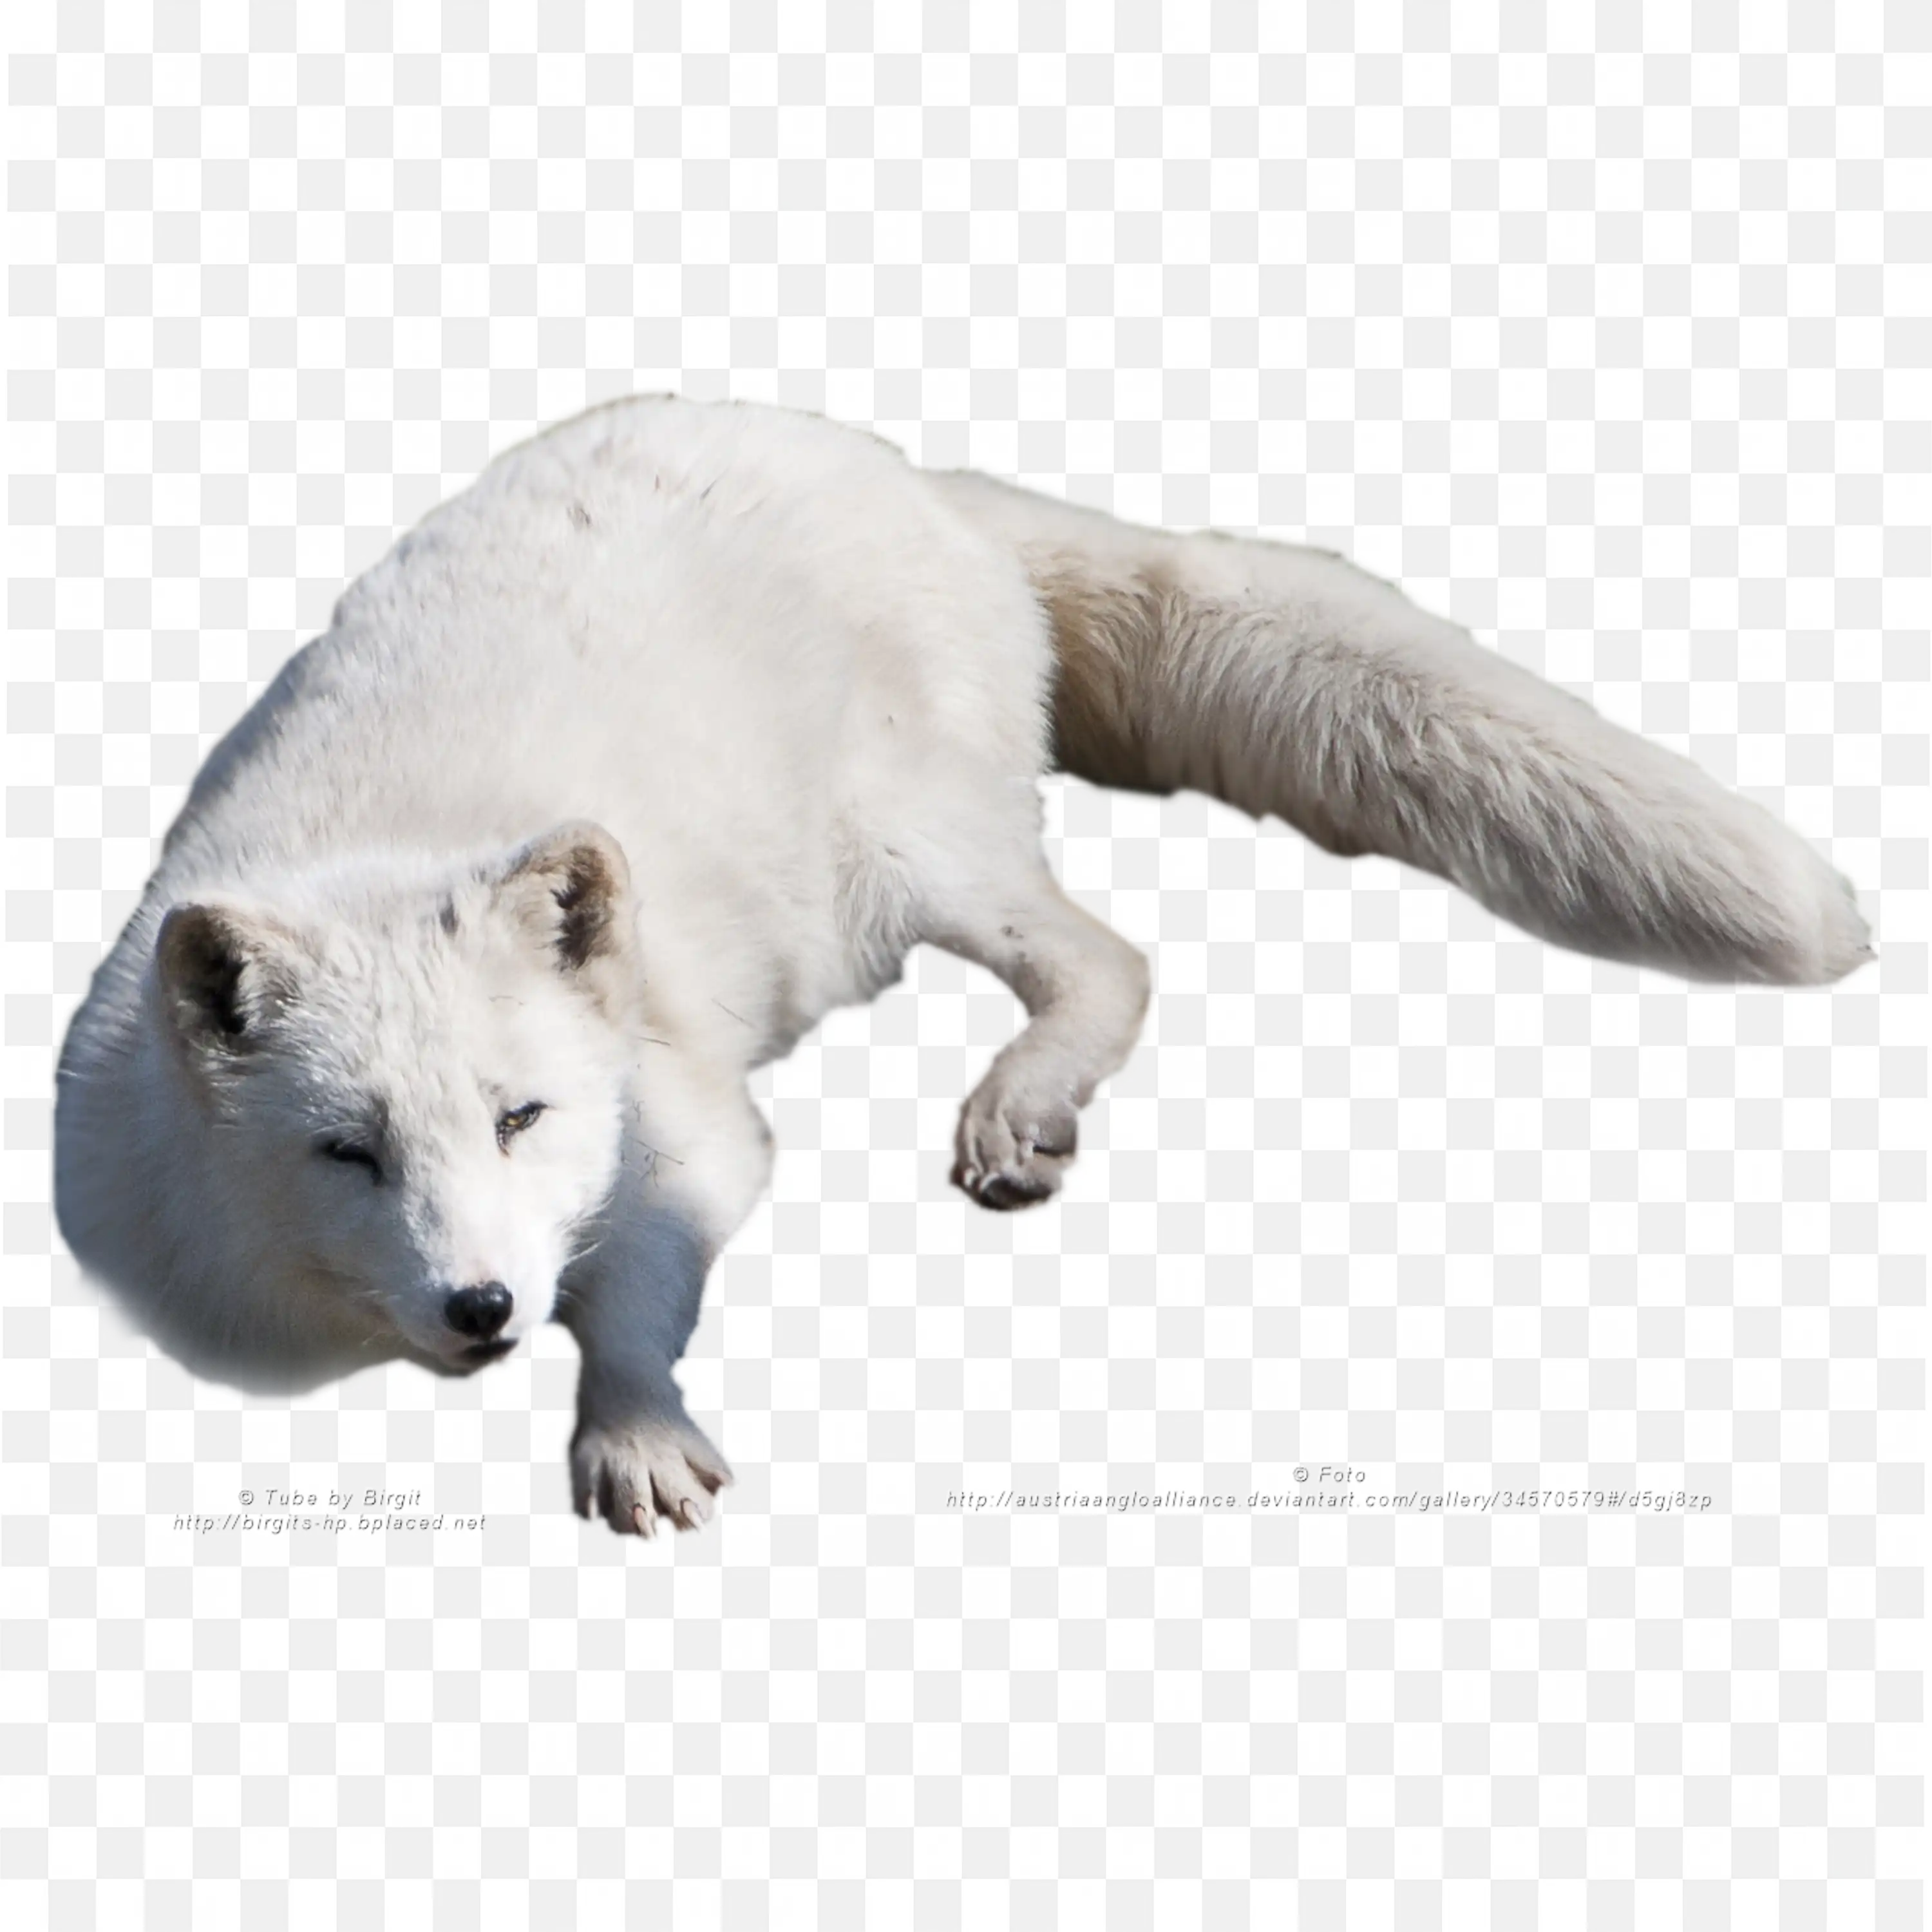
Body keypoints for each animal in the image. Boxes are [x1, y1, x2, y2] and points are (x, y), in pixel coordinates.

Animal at [50, 391, 1874, 1538]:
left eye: (522, 1118)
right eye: (344, 1152)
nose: (485, 1305)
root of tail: (909, 475)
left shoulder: (690, 1125)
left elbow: (644, 1276)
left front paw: (632, 1433)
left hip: (899, 860)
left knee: (1108, 951)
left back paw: (1018, 1110)